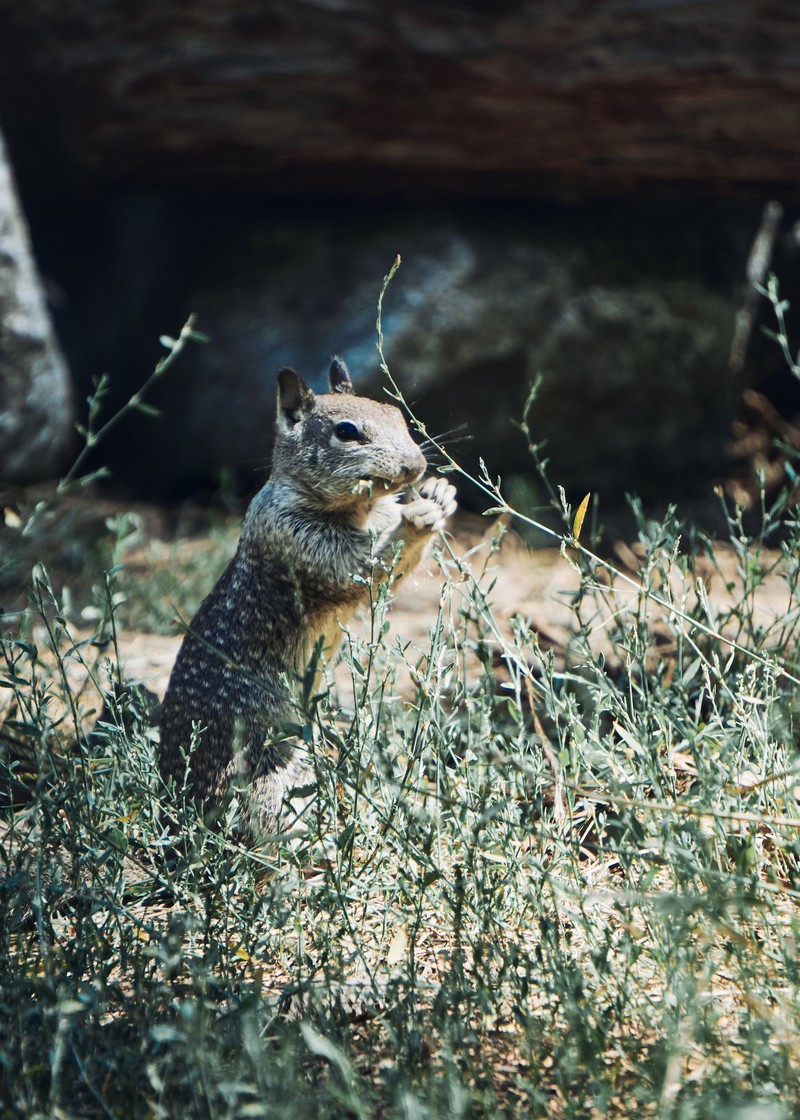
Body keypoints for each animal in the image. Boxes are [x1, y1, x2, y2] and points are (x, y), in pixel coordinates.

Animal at [156, 358, 454, 842]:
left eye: (397, 415)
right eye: (347, 431)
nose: (416, 466)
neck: (359, 512)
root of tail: (172, 796)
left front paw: (439, 495)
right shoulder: (299, 539)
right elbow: (361, 568)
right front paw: (417, 516)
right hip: (268, 775)